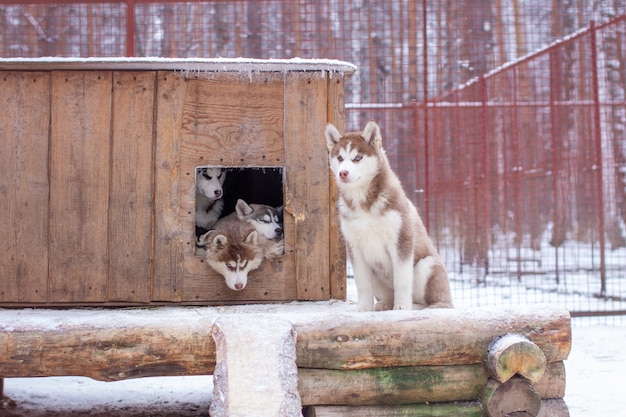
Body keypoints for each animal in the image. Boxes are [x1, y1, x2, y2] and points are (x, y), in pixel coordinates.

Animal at [324, 119, 450, 308]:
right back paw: (384, 304)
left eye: (357, 158)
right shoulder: (354, 246)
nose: (343, 173)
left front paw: (401, 307)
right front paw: (363, 308)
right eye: (339, 158)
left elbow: (402, 281)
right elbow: (363, 284)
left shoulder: (401, 239)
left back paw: (414, 306)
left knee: (431, 302)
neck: (364, 203)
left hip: (426, 265)